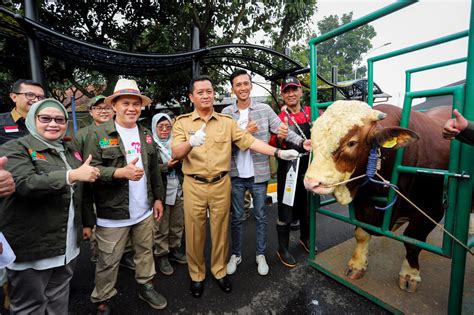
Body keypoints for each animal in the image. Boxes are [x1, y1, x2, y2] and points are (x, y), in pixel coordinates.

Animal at [306, 100, 450, 294]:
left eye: (352, 142)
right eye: (313, 138)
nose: (311, 182)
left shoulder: (431, 210)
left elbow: (413, 241)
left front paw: (410, 274)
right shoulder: (362, 202)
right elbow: (361, 233)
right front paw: (357, 265)